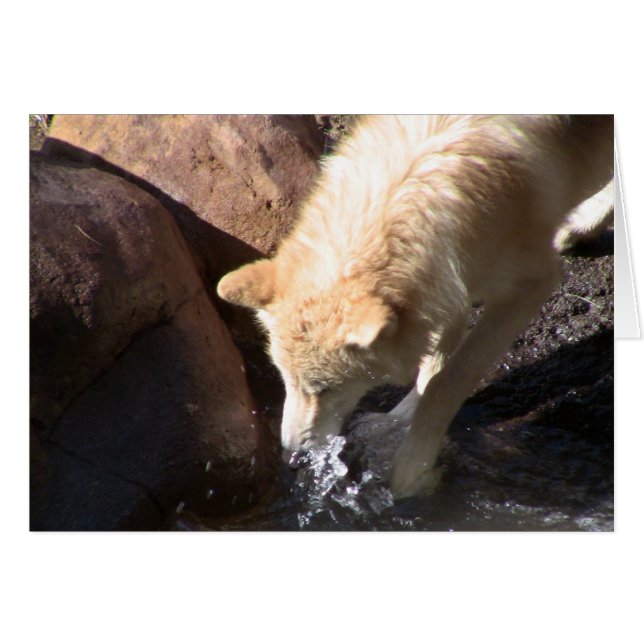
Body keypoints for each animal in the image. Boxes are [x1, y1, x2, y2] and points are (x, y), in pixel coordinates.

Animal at [217, 115, 614, 499]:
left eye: (325, 388)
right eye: (285, 380)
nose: (293, 460)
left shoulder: (531, 283)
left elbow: (448, 380)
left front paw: (412, 469)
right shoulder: (449, 280)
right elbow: (431, 369)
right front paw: (392, 425)